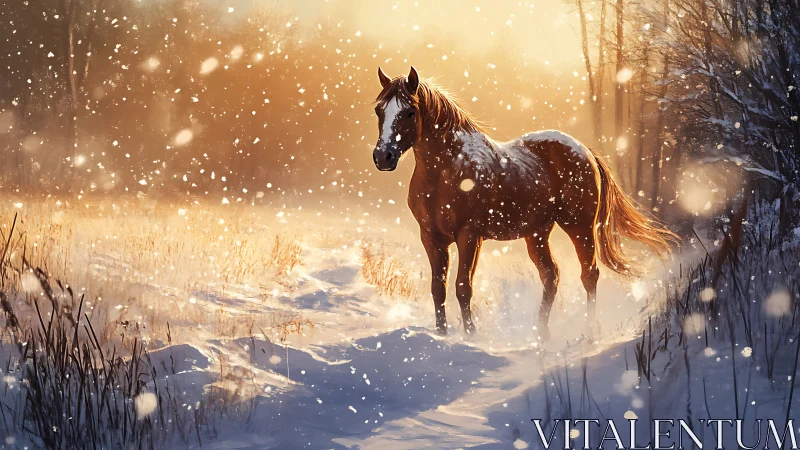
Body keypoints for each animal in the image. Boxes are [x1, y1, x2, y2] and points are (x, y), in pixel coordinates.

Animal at [371, 66, 677, 338]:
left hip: (579, 227)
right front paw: (442, 335)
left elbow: (463, 287)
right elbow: (438, 289)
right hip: (537, 234)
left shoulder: (469, 236)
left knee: (589, 274)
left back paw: (589, 333)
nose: (383, 156)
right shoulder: (431, 237)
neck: (446, 172)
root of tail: (585, 150)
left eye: (410, 112)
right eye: (379, 111)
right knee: (551, 276)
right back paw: (542, 334)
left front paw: (471, 337)